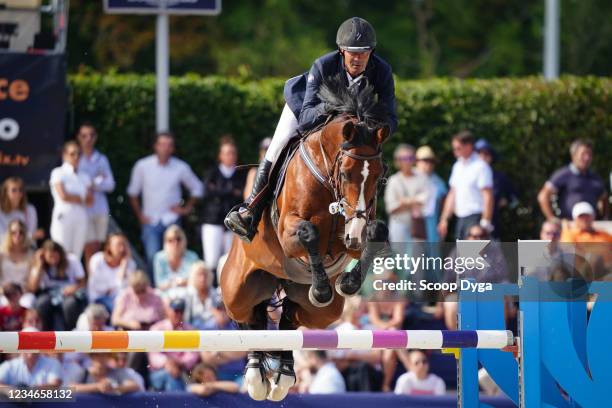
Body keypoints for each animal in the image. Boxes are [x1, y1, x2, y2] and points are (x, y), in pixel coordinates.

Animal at [222, 77, 390, 402]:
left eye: (378, 175)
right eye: (346, 174)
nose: (354, 234)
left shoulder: (352, 235)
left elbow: (376, 233)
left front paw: (347, 282)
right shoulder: (289, 232)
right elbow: (308, 233)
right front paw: (323, 288)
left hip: (321, 312)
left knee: (289, 319)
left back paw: (283, 376)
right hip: (237, 290)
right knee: (249, 320)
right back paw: (255, 378)